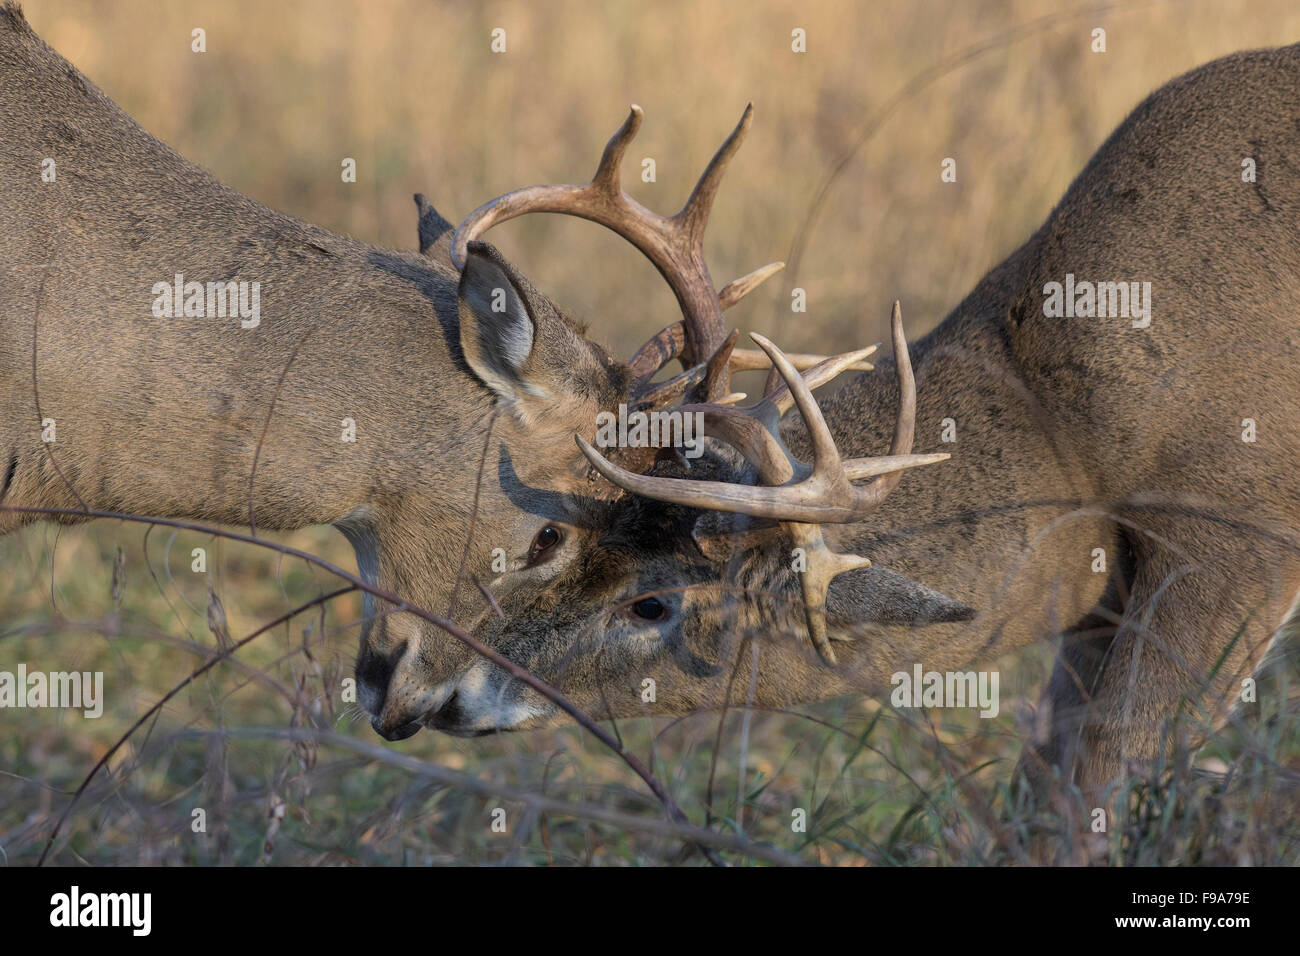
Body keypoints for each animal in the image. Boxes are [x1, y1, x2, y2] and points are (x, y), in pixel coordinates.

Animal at [398, 41, 1300, 817]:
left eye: (652, 604)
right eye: (565, 540)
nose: (452, 694)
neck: (1067, 430)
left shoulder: (1241, 531)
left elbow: (1112, 765)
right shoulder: (1106, 593)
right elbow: (1049, 777)